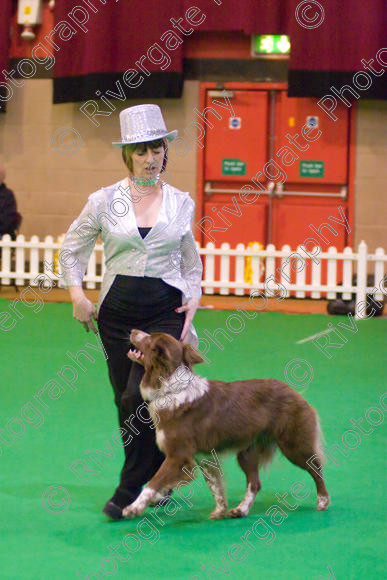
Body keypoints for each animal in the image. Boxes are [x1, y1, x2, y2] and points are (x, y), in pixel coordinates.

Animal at [124, 328, 330, 520]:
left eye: (149, 338)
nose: (133, 330)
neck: (170, 389)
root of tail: (295, 393)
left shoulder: (179, 456)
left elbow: (153, 483)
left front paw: (133, 508)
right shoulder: (203, 456)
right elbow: (215, 486)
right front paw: (220, 510)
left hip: (293, 445)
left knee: (316, 468)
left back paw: (322, 501)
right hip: (247, 452)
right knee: (255, 483)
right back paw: (240, 510)